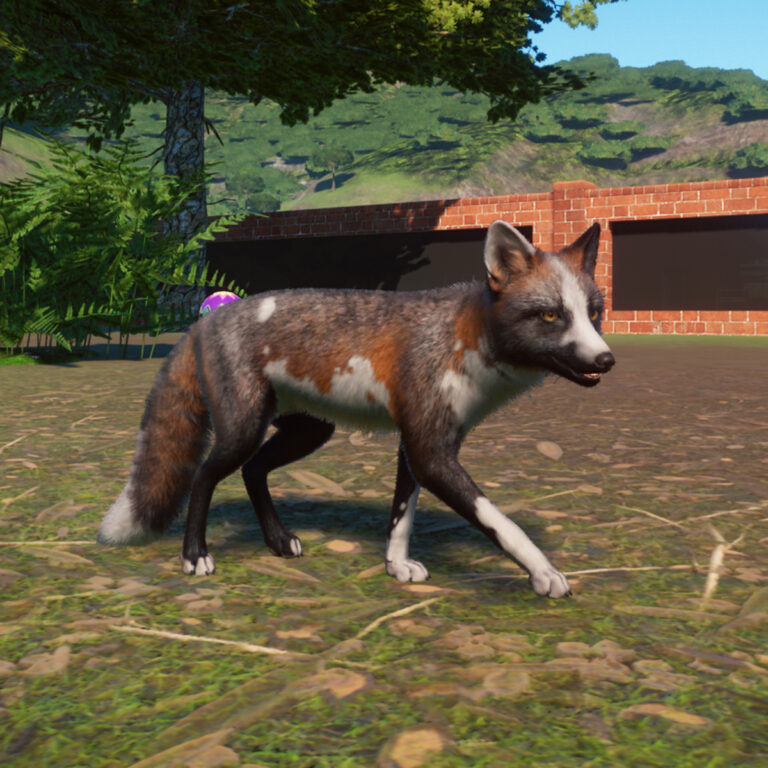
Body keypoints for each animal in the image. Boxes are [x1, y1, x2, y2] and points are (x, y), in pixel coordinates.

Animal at [98, 220, 614, 598]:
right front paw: (543, 573)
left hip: (307, 433)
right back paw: (194, 555)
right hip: (243, 429)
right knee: (205, 477)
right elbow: (500, 522)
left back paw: (277, 542)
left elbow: (401, 515)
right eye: (551, 315)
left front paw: (396, 565)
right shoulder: (431, 452)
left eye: (594, 313)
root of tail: (205, 321)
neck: (462, 340)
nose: (606, 360)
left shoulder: (417, 446)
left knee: (253, 471)